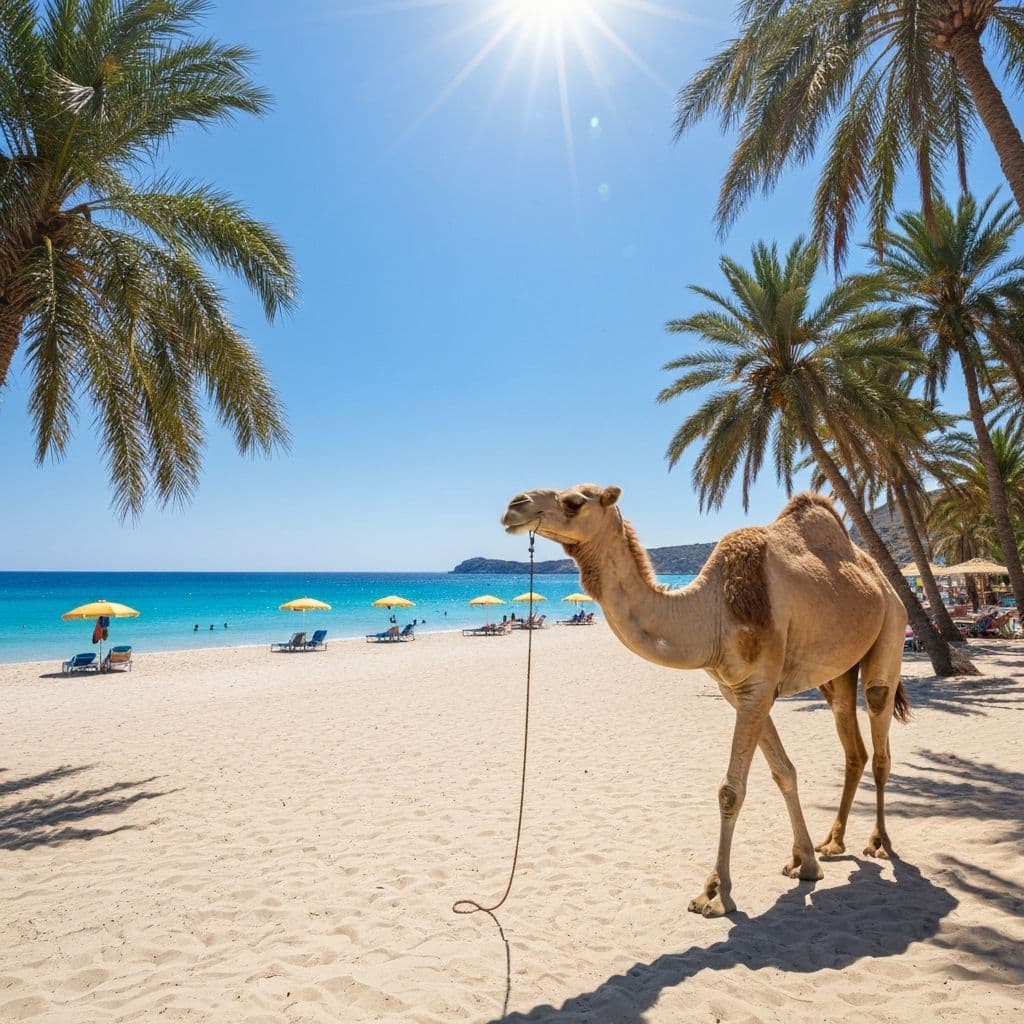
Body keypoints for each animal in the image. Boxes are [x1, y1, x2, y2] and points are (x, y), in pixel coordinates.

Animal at [502, 483, 909, 918]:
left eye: (574, 502)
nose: (514, 507)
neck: (713, 611)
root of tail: (881, 579)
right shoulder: (739, 691)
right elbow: (783, 771)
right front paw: (805, 862)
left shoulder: (758, 686)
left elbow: (731, 789)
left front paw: (714, 893)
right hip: (837, 673)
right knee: (852, 744)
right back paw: (833, 842)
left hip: (891, 626)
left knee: (880, 733)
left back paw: (879, 842)